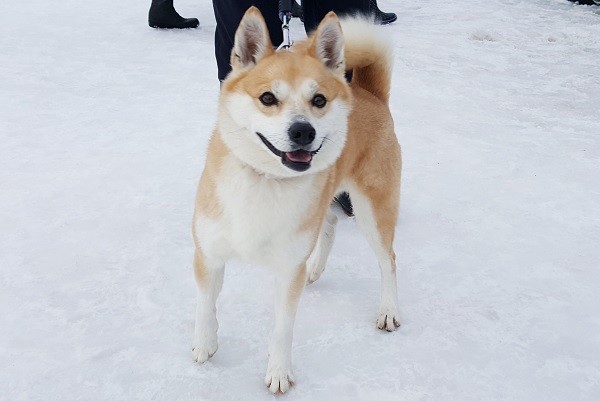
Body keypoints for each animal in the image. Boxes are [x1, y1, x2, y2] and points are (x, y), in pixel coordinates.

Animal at [190, 7, 400, 394]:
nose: (303, 131)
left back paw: (389, 309)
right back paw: (315, 268)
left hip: (373, 210)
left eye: (318, 100)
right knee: (329, 223)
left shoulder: (288, 271)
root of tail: (370, 93)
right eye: (267, 98)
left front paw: (278, 372)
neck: (265, 179)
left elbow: (282, 329)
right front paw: (205, 344)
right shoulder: (208, 253)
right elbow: (205, 305)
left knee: (388, 261)